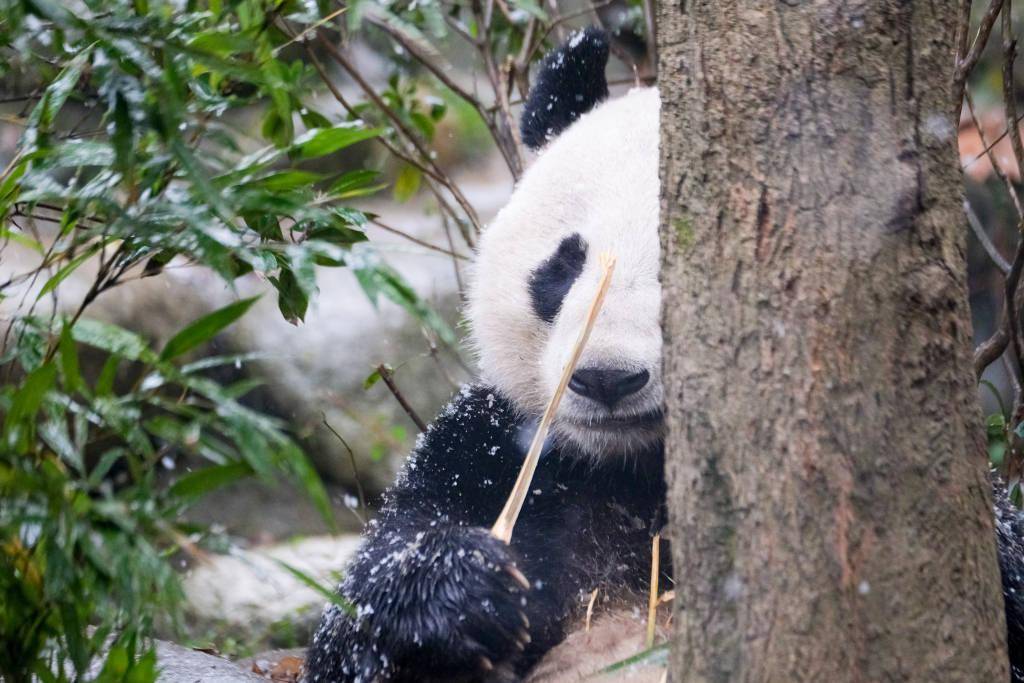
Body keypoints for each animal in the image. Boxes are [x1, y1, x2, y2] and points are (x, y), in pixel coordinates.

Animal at [305, 26, 1024, 683]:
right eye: (564, 264)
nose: (607, 379)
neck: (631, 468)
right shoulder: (489, 453)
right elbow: (353, 623)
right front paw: (468, 591)